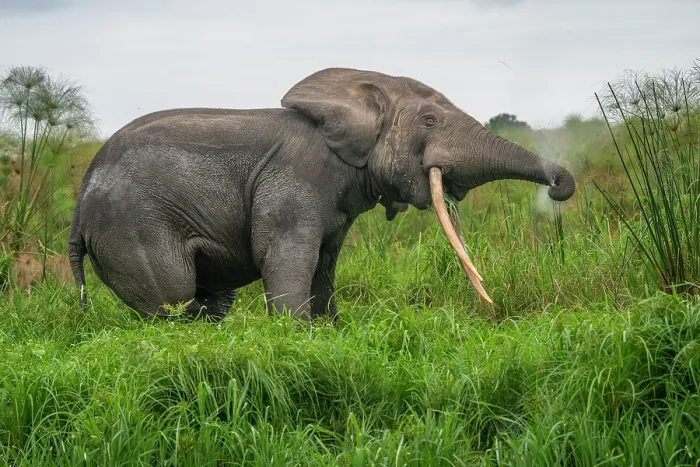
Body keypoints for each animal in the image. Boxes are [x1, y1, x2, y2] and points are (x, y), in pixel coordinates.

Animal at [67, 67, 575, 322]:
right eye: (429, 120)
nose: (560, 186)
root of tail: (78, 211)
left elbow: (325, 264)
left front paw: (330, 328)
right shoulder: (295, 179)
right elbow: (286, 256)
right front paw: (296, 335)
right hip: (134, 230)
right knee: (173, 302)